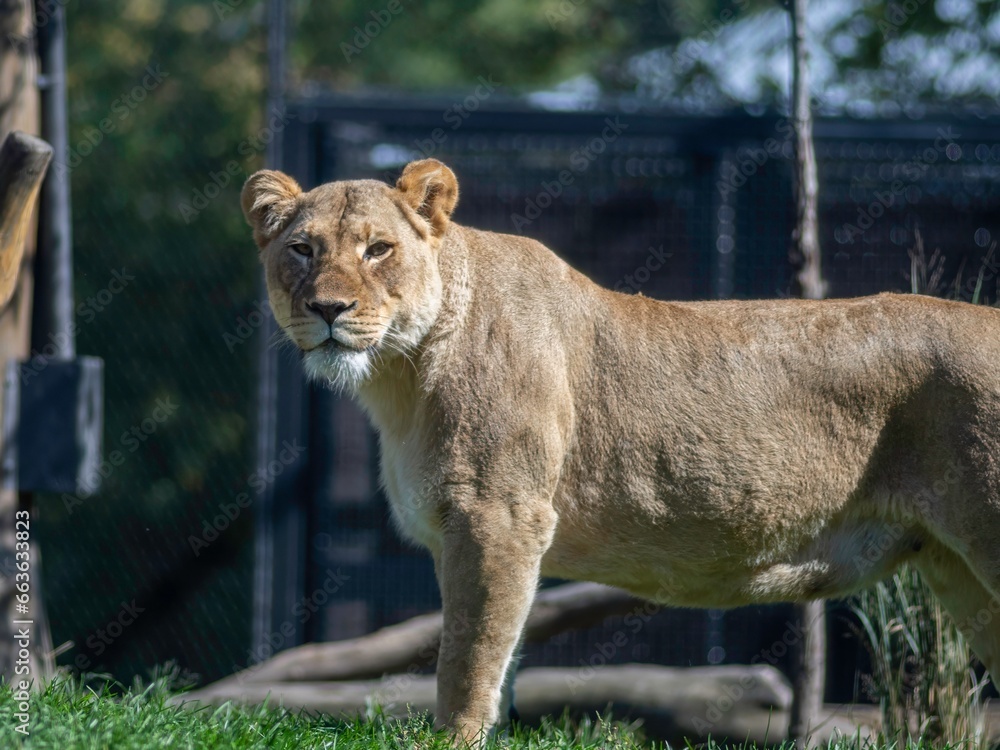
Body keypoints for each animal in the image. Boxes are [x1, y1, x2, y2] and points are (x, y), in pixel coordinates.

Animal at [242, 158, 1000, 744]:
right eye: (303, 250)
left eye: (378, 249)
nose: (329, 309)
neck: (400, 373)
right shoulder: (499, 530)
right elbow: (503, 653)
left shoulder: (499, 515)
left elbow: (469, 652)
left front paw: (453, 739)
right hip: (957, 572)